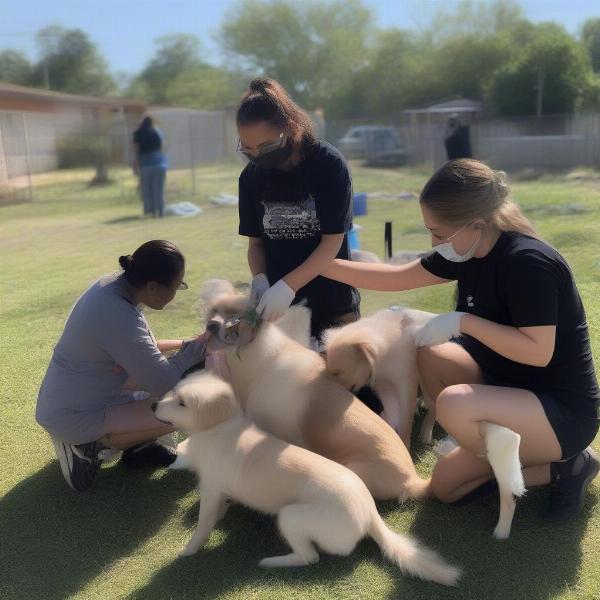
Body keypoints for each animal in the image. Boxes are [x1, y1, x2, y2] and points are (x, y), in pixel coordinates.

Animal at [154, 370, 460, 584]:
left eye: (182, 402)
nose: (153, 404)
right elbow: (219, 508)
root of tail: (370, 513)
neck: (218, 428)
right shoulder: (218, 491)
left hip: (289, 516)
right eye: (175, 393)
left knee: (310, 557)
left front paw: (189, 551)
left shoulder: (210, 489)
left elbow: (203, 525)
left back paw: (270, 562)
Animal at [324, 308, 436, 448]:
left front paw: (405, 444)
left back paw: (426, 434)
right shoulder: (384, 386)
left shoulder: (407, 382)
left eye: (337, 373)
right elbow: (393, 413)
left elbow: (405, 420)